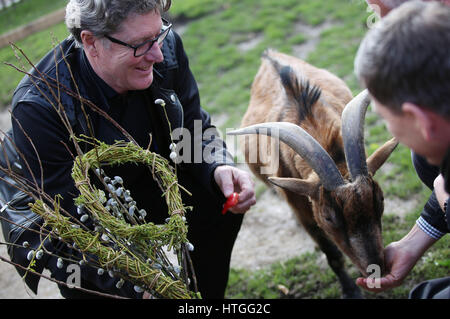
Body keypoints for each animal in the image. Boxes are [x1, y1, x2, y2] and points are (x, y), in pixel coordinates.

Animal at [229, 48, 398, 298]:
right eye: (328, 217)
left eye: (381, 199)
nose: (377, 271)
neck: (306, 111)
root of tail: (268, 54)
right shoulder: (303, 209)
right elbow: (332, 254)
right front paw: (351, 290)